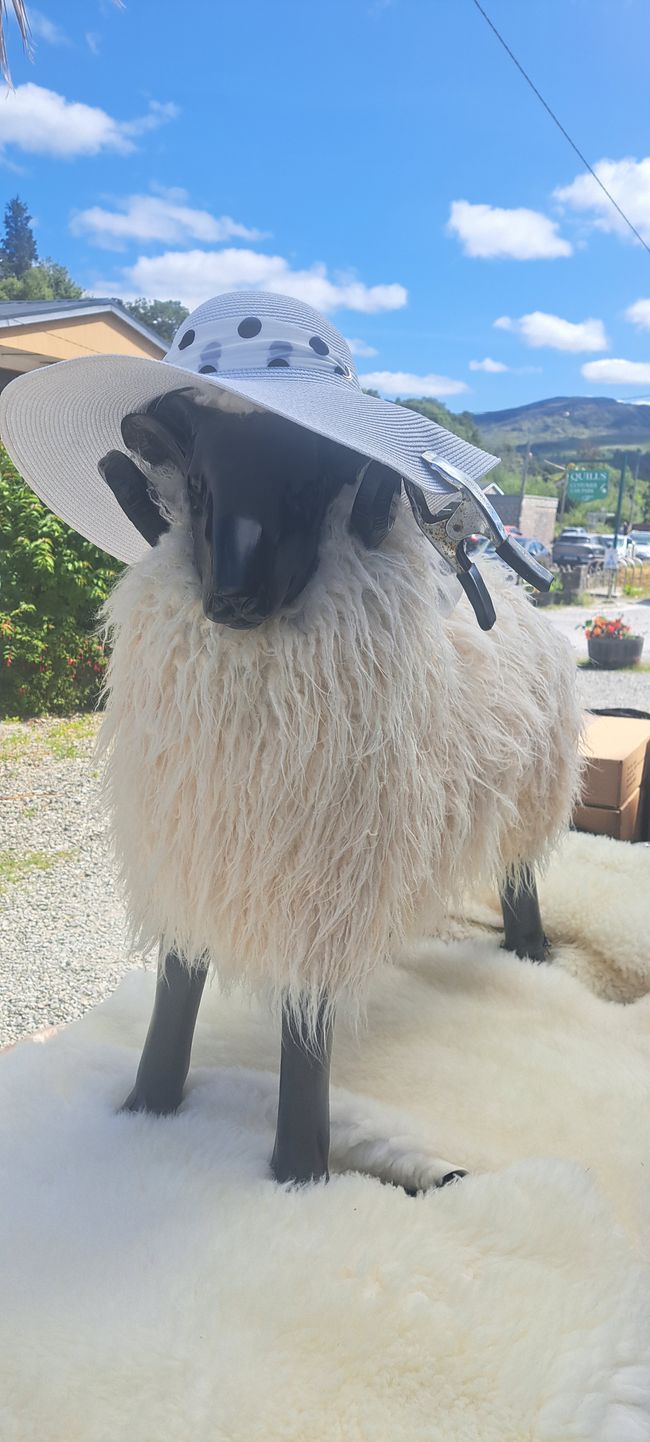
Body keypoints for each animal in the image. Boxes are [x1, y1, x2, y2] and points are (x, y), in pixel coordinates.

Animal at [97, 381, 582, 1187]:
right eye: (196, 486)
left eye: (312, 483)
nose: (232, 602)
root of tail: (519, 596)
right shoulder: (192, 845)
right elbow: (177, 984)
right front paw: (145, 1107)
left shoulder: (323, 880)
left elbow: (306, 1028)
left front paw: (298, 1170)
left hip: (527, 795)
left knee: (520, 877)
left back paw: (531, 953)